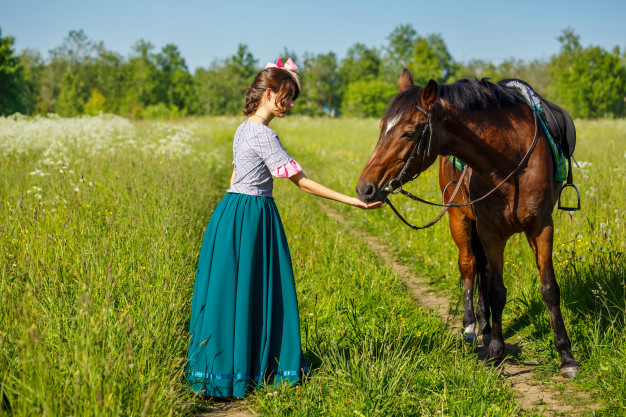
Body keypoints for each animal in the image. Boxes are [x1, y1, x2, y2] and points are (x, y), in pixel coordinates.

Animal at [356, 69, 580, 376]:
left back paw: (485, 326)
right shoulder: (489, 229)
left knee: (482, 270)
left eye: (408, 133)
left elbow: (549, 289)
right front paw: (496, 353)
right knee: (470, 266)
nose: (364, 189)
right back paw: (472, 327)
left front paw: (566, 355)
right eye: (381, 128)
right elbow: (496, 290)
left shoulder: (541, 226)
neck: (511, 161)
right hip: (459, 219)